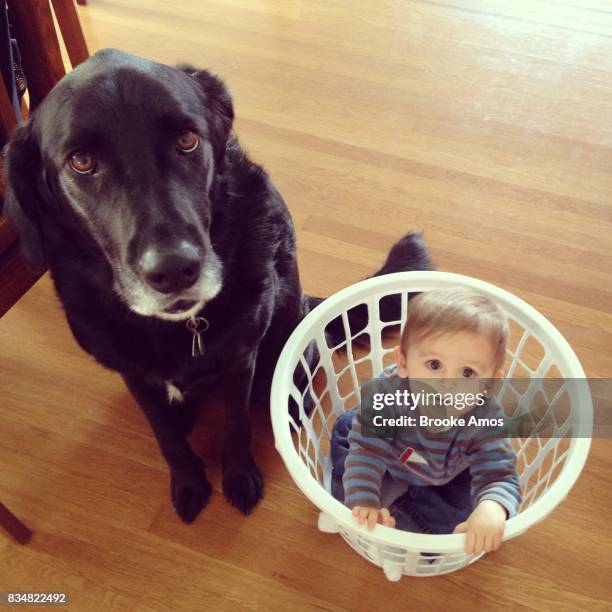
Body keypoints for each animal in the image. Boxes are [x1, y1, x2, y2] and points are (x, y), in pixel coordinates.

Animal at [3, 50, 430, 524]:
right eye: (81, 162)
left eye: (188, 139)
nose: (174, 270)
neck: (176, 329)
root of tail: (308, 303)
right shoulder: (134, 375)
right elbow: (165, 437)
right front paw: (188, 482)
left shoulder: (241, 360)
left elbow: (235, 425)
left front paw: (239, 477)